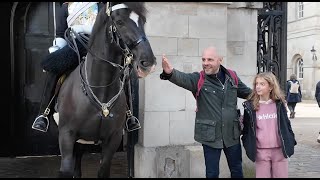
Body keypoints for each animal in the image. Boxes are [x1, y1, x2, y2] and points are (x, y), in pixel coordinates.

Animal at [55, 2, 158, 177]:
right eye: (120, 21)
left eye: (143, 21)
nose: (148, 62)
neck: (100, 90)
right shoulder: (66, 135)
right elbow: (66, 170)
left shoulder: (113, 139)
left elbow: (103, 170)